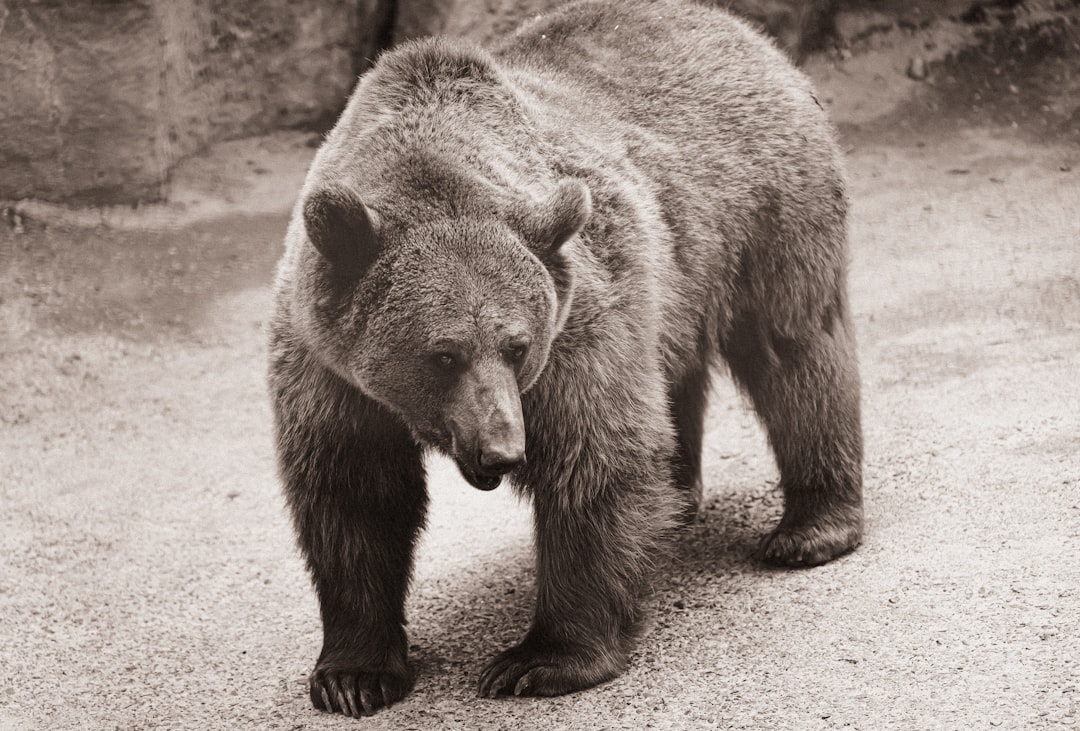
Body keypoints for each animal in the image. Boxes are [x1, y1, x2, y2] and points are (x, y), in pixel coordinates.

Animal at [267, 0, 863, 717]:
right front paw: (353, 675)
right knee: (678, 381)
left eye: (516, 344)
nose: (503, 449)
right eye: (443, 355)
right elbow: (353, 493)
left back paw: (810, 528)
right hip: (681, 279)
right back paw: (679, 497)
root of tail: (737, 29)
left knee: (795, 351)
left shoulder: (575, 322)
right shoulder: (327, 366)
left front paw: (540, 660)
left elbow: (596, 456)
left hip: (765, 210)